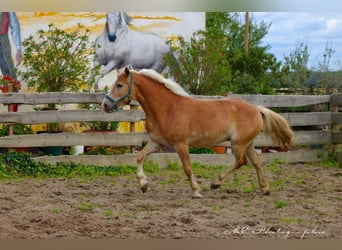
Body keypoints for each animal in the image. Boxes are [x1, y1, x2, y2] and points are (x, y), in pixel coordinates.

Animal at [101, 67, 294, 198]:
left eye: (119, 85)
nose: (105, 104)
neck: (167, 108)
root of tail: (256, 109)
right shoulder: (157, 142)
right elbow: (139, 157)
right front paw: (143, 184)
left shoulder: (181, 145)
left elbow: (187, 168)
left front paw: (196, 191)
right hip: (248, 144)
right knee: (256, 161)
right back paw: (264, 188)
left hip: (237, 144)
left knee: (241, 161)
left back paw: (216, 182)